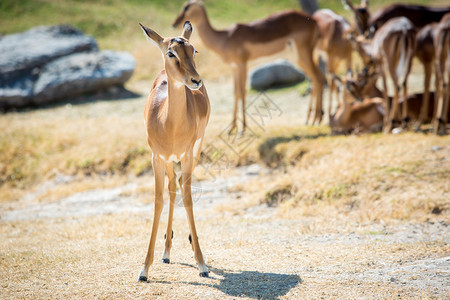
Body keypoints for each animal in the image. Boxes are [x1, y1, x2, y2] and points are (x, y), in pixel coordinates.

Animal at [138, 21, 210, 282]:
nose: (195, 80)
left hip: (196, 150)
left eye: (194, 50)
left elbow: (188, 199)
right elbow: (158, 201)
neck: (169, 125)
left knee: (179, 185)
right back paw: (166, 252)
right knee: (171, 188)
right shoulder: (156, 158)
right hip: (169, 161)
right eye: (171, 53)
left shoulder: (187, 156)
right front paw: (144, 269)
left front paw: (202, 264)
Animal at [171, 0, 324, 132]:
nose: (175, 23)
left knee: (318, 77)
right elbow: (236, 93)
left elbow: (242, 93)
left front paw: (242, 129)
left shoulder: (242, 65)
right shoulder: (234, 68)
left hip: (302, 55)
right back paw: (311, 119)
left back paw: (316, 119)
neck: (225, 38)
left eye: (186, 7)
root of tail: (314, 22)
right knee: (316, 78)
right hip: (297, 58)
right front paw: (232, 129)